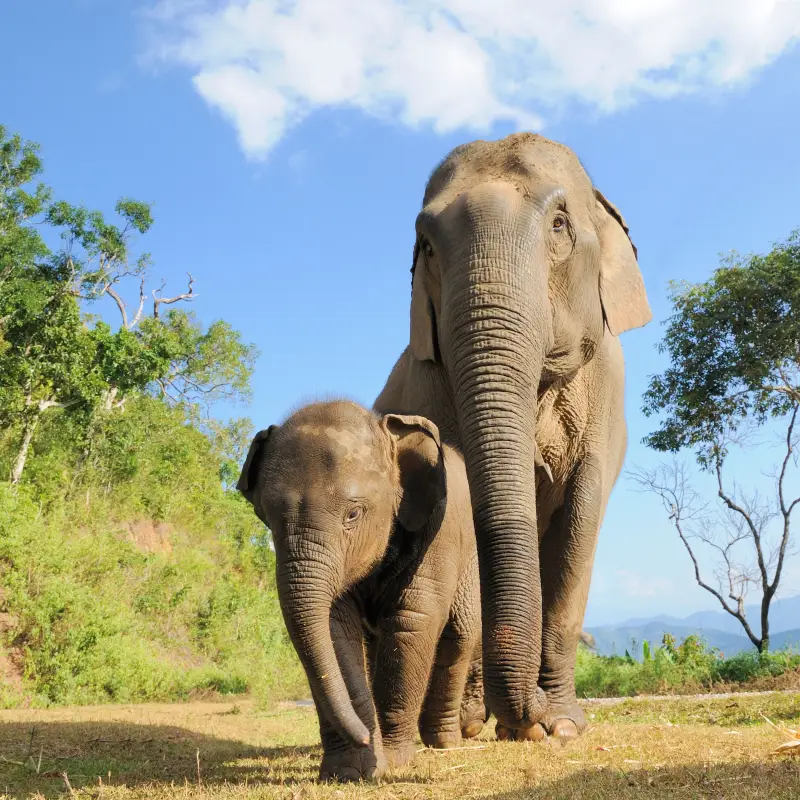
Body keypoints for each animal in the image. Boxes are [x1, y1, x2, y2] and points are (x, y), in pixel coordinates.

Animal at [236, 400, 488, 780]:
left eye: (353, 514)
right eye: (267, 516)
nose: (367, 739)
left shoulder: (438, 532)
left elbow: (413, 620)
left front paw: (394, 761)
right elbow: (336, 627)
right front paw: (351, 771)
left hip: (469, 557)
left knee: (459, 635)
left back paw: (445, 742)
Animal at [376, 131, 648, 736]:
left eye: (560, 225)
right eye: (426, 246)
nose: (534, 715)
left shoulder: (608, 392)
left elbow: (581, 519)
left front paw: (563, 727)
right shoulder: (434, 385)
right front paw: (522, 723)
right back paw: (472, 721)